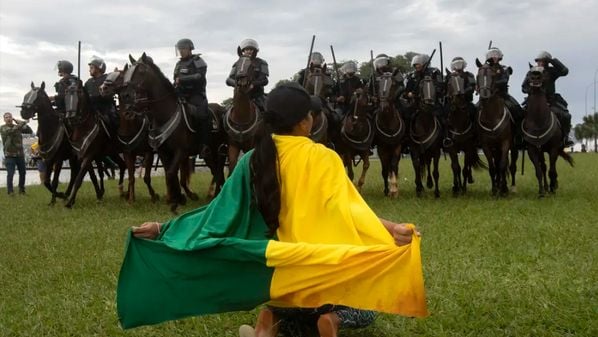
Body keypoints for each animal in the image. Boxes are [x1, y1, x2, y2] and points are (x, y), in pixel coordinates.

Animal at [62, 78, 126, 207]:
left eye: (79, 93)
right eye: (66, 93)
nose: (70, 117)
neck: (84, 127)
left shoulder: (89, 155)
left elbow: (79, 177)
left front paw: (70, 202)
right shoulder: (82, 155)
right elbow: (91, 175)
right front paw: (99, 194)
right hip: (113, 153)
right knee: (122, 165)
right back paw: (121, 191)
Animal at [101, 65, 162, 202]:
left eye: (120, 76)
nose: (103, 88)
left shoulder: (149, 153)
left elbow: (146, 177)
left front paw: (154, 195)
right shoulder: (128, 154)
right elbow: (131, 177)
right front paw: (131, 199)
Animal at [122, 53, 227, 211]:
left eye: (141, 71)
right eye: (128, 72)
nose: (127, 96)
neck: (165, 114)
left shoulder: (180, 151)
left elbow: (171, 173)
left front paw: (176, 199)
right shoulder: (164, 153)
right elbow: (170, 173)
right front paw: (178, 197)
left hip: (218, 150)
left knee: (218, 172)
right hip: (211, 154)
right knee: (216, 172)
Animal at [476, 61, 516, 196]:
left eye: (492, 76)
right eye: (477, 76)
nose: (484, 96)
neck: (492, 117)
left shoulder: (505, 143)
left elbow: (502, 165)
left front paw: (503, 189)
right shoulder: (486, 146)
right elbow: (493, 167)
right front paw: (494, 190)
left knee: (509, 166)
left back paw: (507, 187)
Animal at [524, 66, 576, 196]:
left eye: (544, 72)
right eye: (529, 73)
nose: (535, 76)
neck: (538, 121)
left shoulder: (553, 149)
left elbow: (552, 170)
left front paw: (553, 187)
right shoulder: (532, 150)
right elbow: (538, 170)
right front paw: (541, 192)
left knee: (551, 168)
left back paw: (553, 186)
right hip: (541, 151)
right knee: (543, 166)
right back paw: (546, 188)